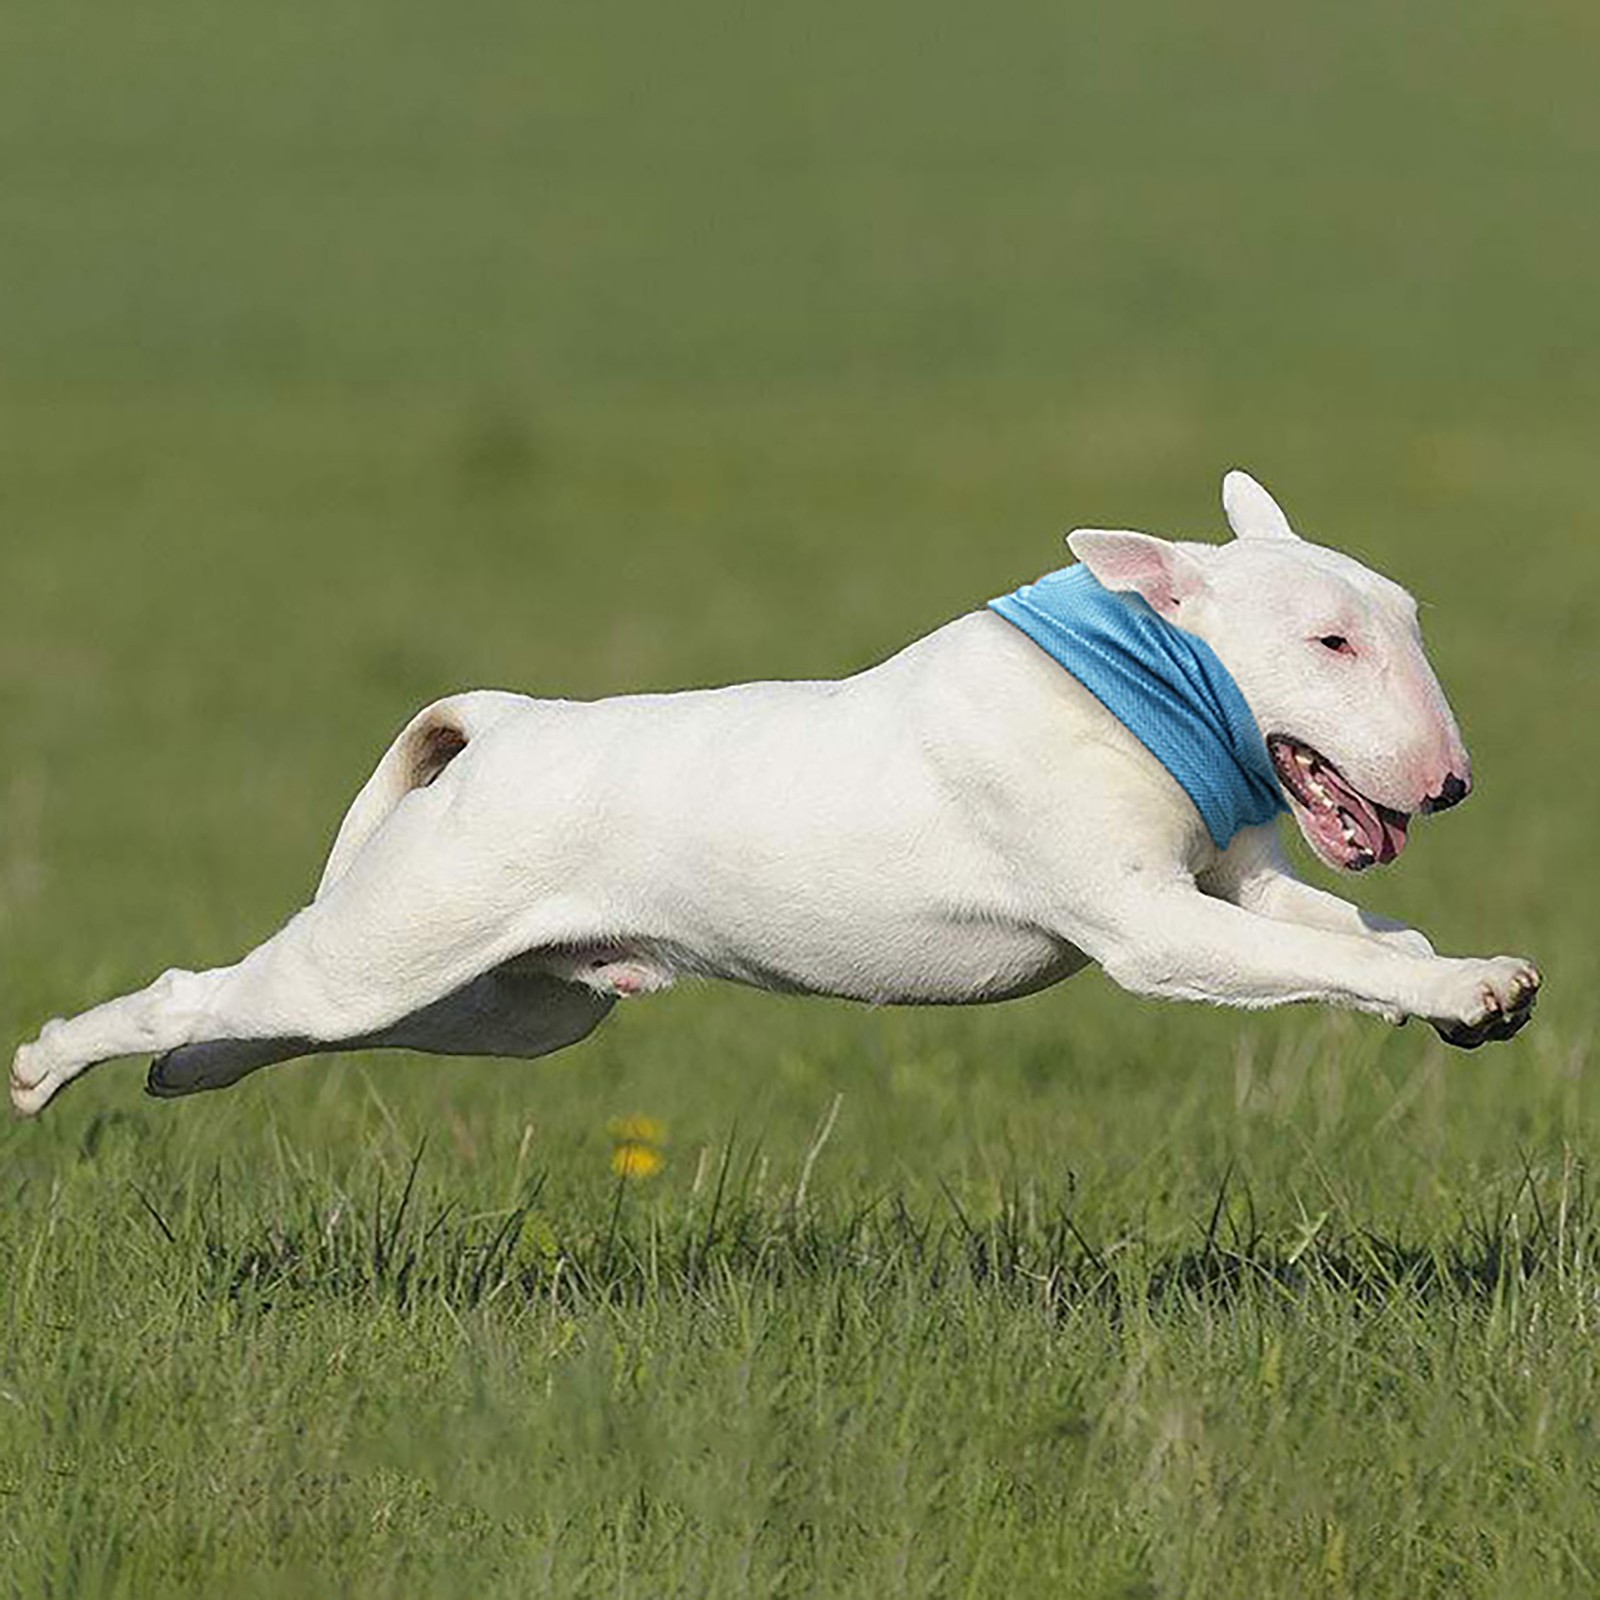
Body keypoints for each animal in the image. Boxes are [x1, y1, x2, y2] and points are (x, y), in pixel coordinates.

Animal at [9, 467, 1536, 1113]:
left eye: (1405, 616)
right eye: (1329, 642)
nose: (1454, 782)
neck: (1132, 682)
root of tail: (500, 726)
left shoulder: (1240, 879)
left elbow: (1353, 933)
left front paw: (1477, 983)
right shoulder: (1147, 923)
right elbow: (1314, 958)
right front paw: (1458, 991)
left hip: (512, 1005)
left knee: (275, 1022)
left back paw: (189, 1073)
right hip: (394, 944)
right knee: (210, 987)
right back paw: (49, 1068)